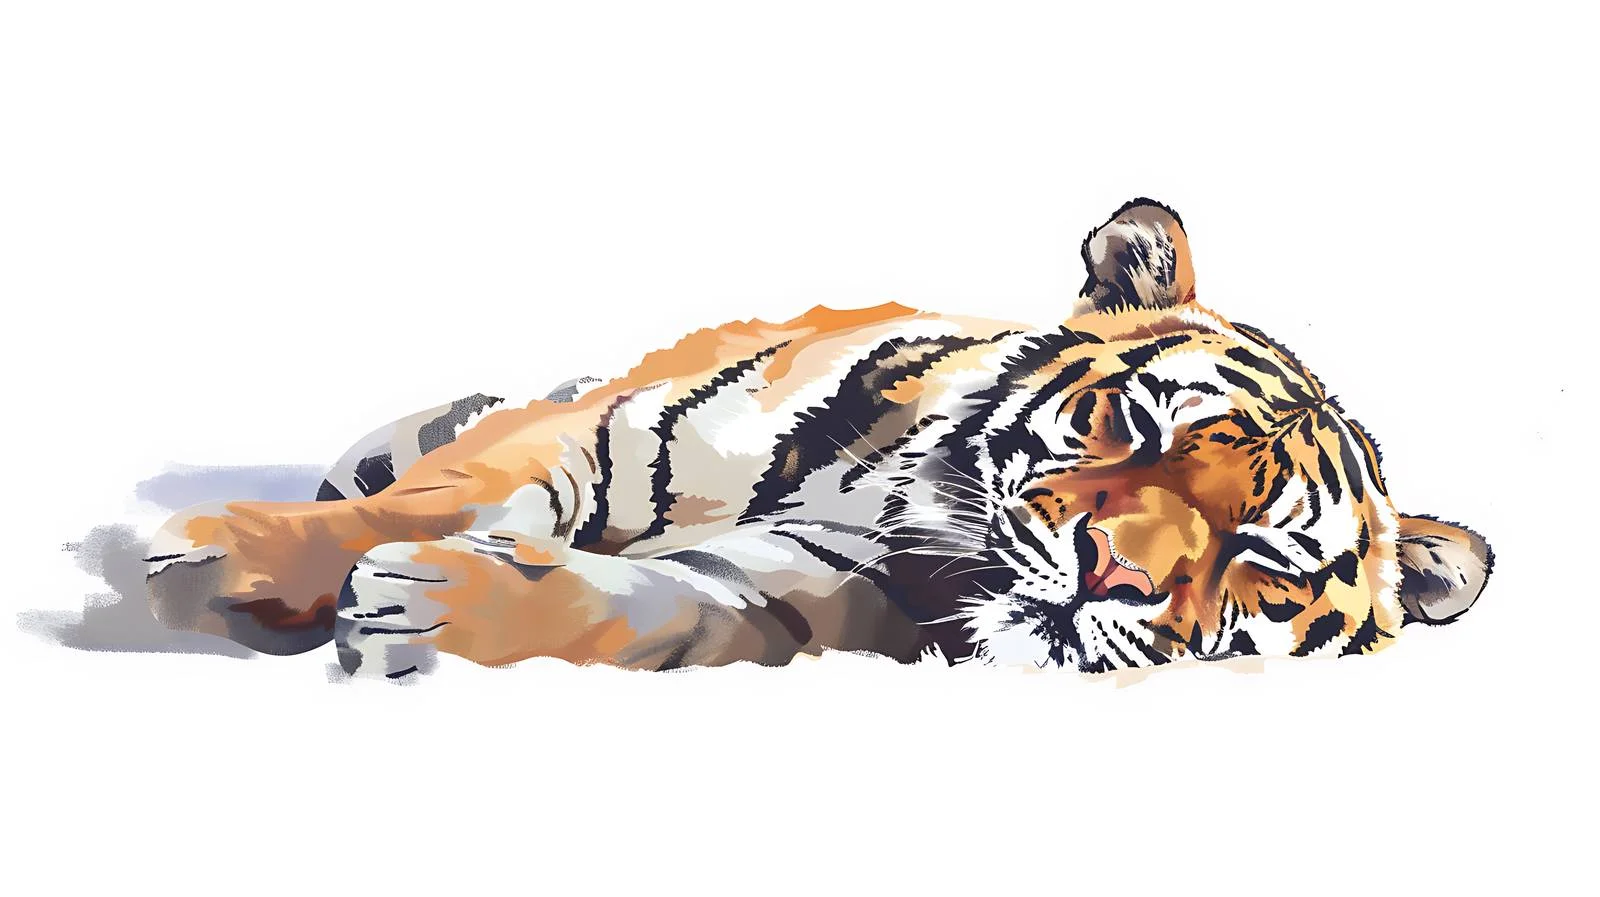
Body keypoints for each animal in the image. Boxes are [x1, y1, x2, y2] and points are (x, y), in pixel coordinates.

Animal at [145, 198, 1492, 678]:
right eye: (1138, 423)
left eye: (1260, 558)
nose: (1112, 574)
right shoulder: (599, 434)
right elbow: (424, 500)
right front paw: (210, 554)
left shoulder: (810, 588)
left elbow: (647, 613)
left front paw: (433, 615)